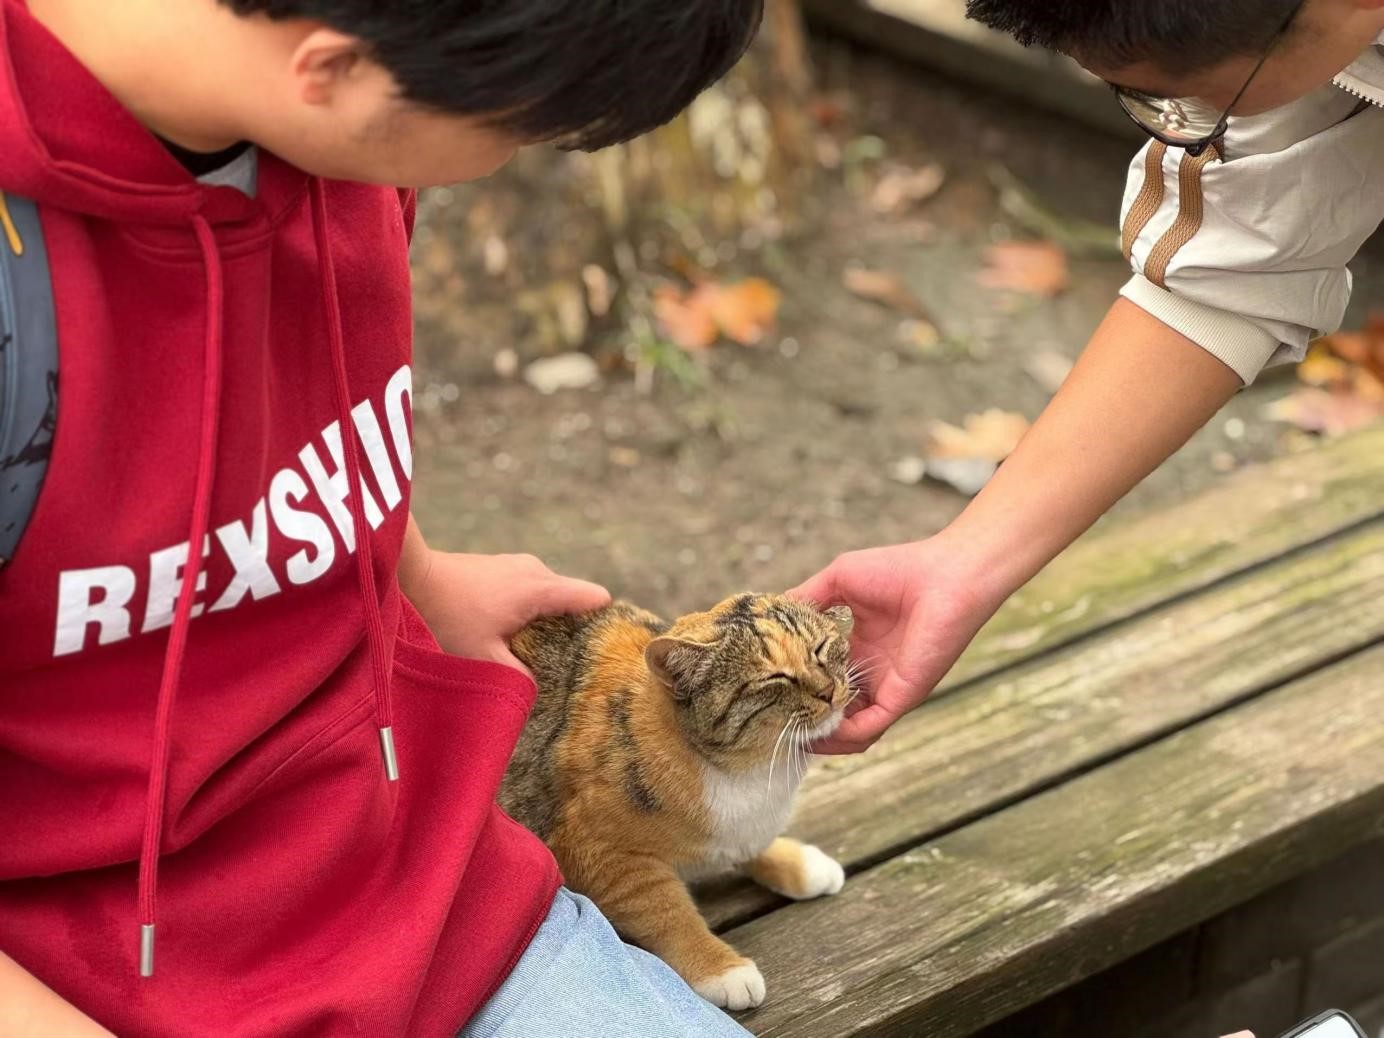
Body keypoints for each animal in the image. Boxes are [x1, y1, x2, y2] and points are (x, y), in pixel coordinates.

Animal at [503, 592, 858, 1012]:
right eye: (774, 678)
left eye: (820, 648)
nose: (827, 690)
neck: (749, 766)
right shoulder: (596, 851)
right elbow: (666, 911)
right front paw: (721, 968)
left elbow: (750, 842)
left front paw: (799, 865)